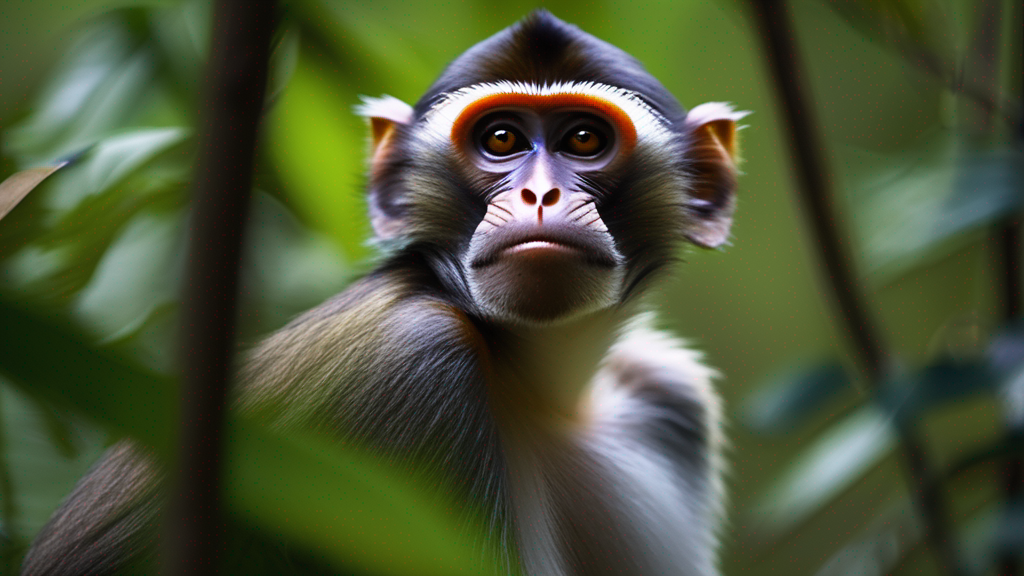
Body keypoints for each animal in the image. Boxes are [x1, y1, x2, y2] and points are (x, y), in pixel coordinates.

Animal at [21, 10, 747, 576]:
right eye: (502, 138)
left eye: (585, 139)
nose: (540, 194)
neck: (540, 386)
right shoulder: (419, 371)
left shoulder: (669, 396)